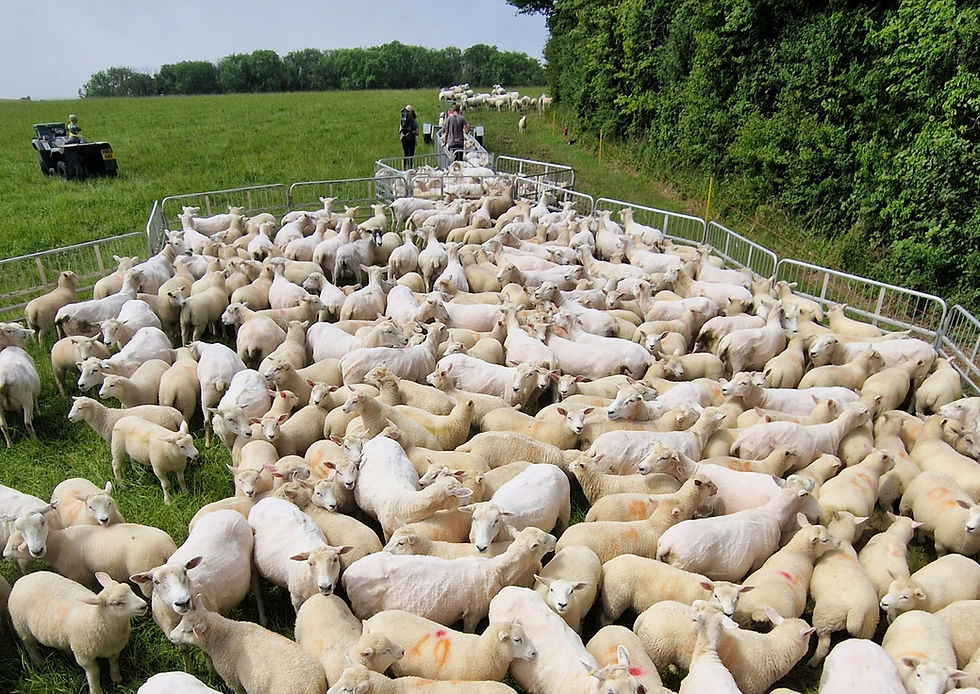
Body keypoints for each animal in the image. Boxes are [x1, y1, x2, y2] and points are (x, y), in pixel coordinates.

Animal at [8, 571, 147, 694]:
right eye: (117, 603)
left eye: (129, 589)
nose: (144, 606)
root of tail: (23, 579)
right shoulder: (84, 656)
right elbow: (94, 673)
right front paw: (96, 691)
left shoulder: (115, 648)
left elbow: (114, 663)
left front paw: (117, 679)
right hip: (22, 626)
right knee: (30, 645)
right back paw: (39, 663)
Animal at [168, 600, 326, 694]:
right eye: (181, 621)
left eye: (188, 631)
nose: (170, 636)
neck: (223, 636)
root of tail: (313, 686)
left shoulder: (232, 679)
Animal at [343, 526, 556, 632]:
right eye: (544, 541)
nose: (555, 539)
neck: (497, 570)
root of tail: (347, 574)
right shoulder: (473, 614)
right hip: (363, 608)